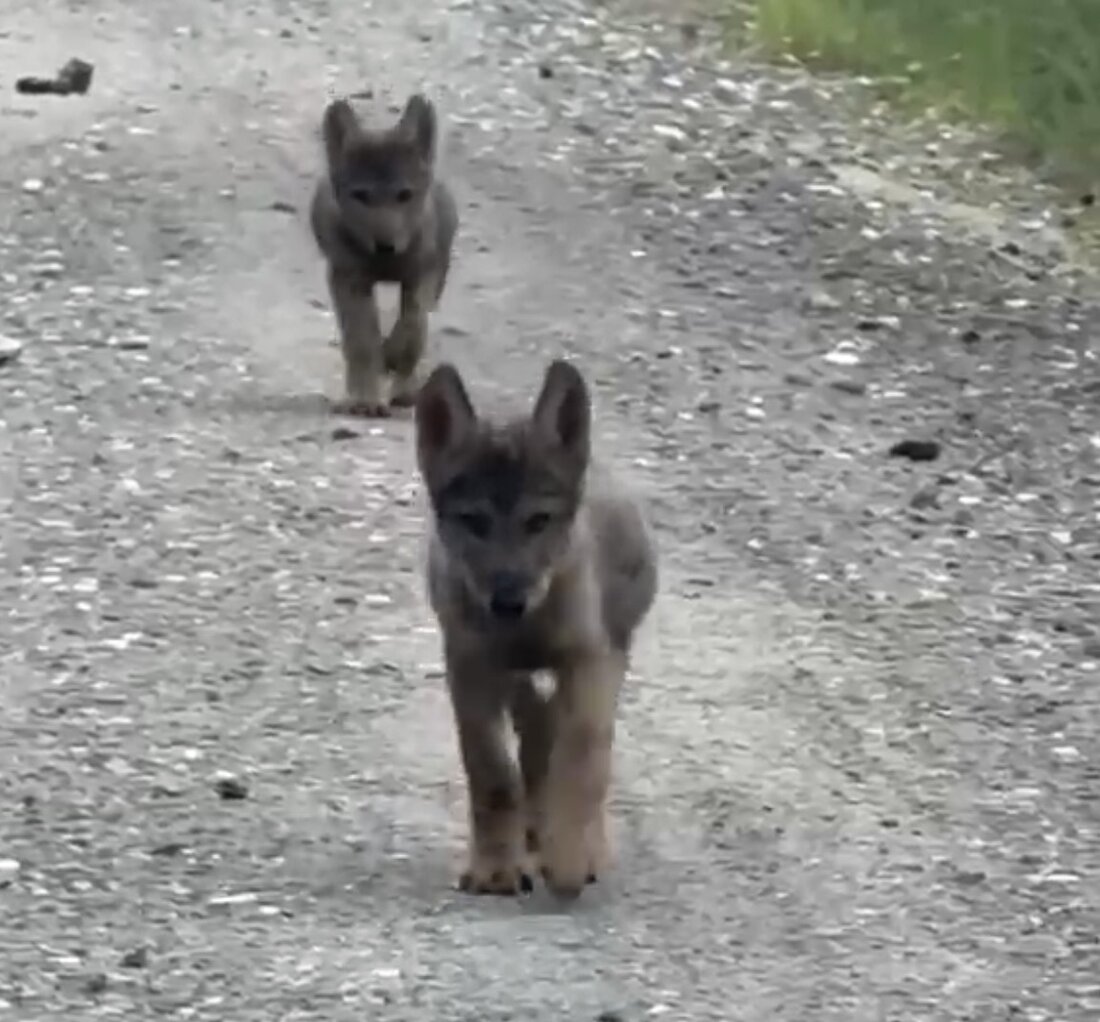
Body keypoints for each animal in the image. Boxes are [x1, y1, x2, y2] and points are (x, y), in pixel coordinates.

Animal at [310, 93, 459, 417]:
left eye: (404, 195)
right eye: (361, 195)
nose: (385, 246)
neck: (386, 265)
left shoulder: (421, 276)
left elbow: (413, 329)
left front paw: (399, 381)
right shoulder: (348, 279)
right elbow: (361, 342)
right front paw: (365, 399)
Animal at [414, 359, 658, 899]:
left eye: (539, 520)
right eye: (473, 521)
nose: (508, 601)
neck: (527, 627)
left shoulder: (590, 661)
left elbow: (582, 758)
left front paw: (569, 859)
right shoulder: (470, 668)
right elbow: (493, 773)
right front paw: (496, 868)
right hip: (522, 682)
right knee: (533, 746)